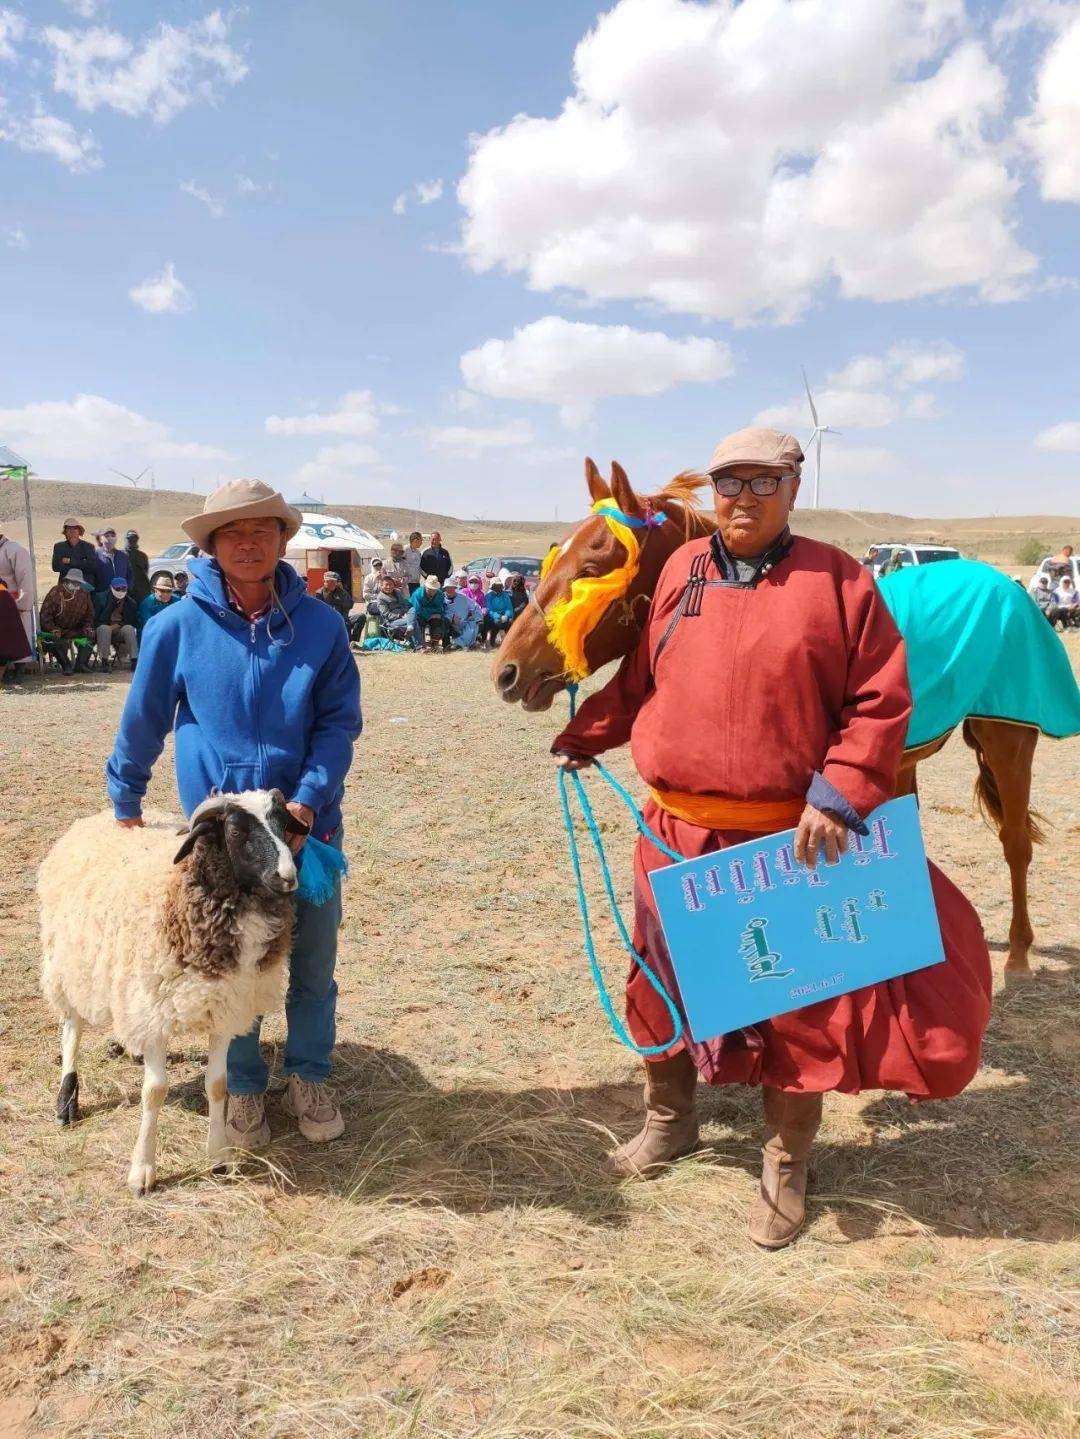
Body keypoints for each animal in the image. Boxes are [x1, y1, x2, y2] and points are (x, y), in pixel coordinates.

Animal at [39, 788, 307, 1191]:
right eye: (235, 831)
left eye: (283, 824)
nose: (287, 877)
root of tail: (96, 818)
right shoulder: (153, 1011)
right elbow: (154, 1092)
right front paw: (142, 1170)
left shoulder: (224, 1010)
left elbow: (218, 1084)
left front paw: (219, 1158)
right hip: (70, 964)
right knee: (72, 1028)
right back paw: (66, 1101)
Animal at [497, 460, 1046, 978]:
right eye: (553, 556)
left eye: (592, 566)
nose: (506, 671)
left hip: (1009, 738)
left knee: (1015, 842)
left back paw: (1019, 953)